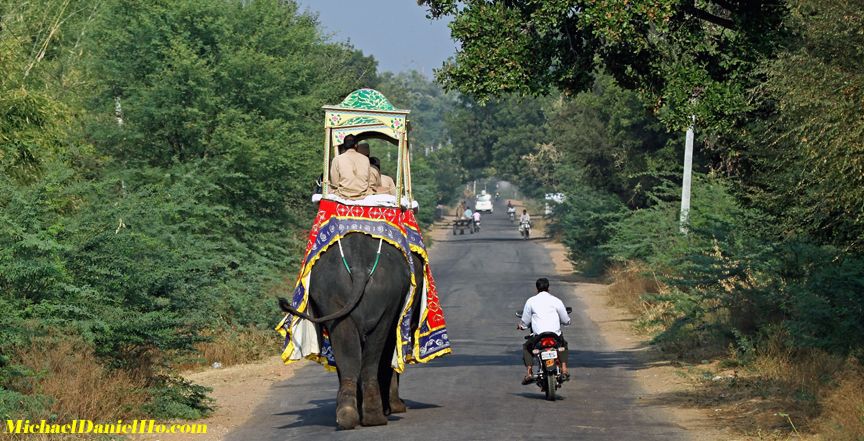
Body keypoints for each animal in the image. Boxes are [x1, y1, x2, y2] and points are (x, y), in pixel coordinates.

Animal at [280, 234, 426, 430]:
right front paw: (396, 406)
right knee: (376, 349)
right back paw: (376, 416)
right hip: (387, 298)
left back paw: (349, 415)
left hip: (334, 292)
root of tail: (358, 267)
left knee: (348, 350)